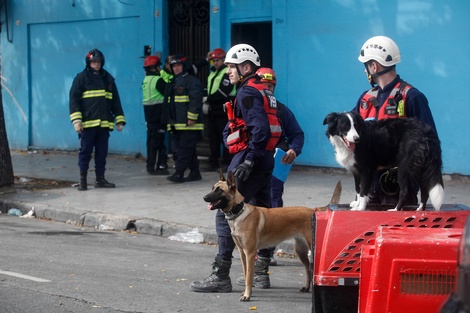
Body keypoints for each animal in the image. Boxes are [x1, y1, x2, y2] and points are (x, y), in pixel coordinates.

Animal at [203, 169, 342, 302]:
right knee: (308, 269)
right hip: (300, 250)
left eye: (219, 190)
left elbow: (249, 277)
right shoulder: (243, 253)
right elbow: (246, 273)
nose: (204, 197)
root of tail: (313, 210)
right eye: (212, 188)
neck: (239, 212)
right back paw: (307, 287)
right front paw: (246, 292)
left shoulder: (250, 253)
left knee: (313, 268)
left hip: (313, 249)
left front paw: (247, 295)